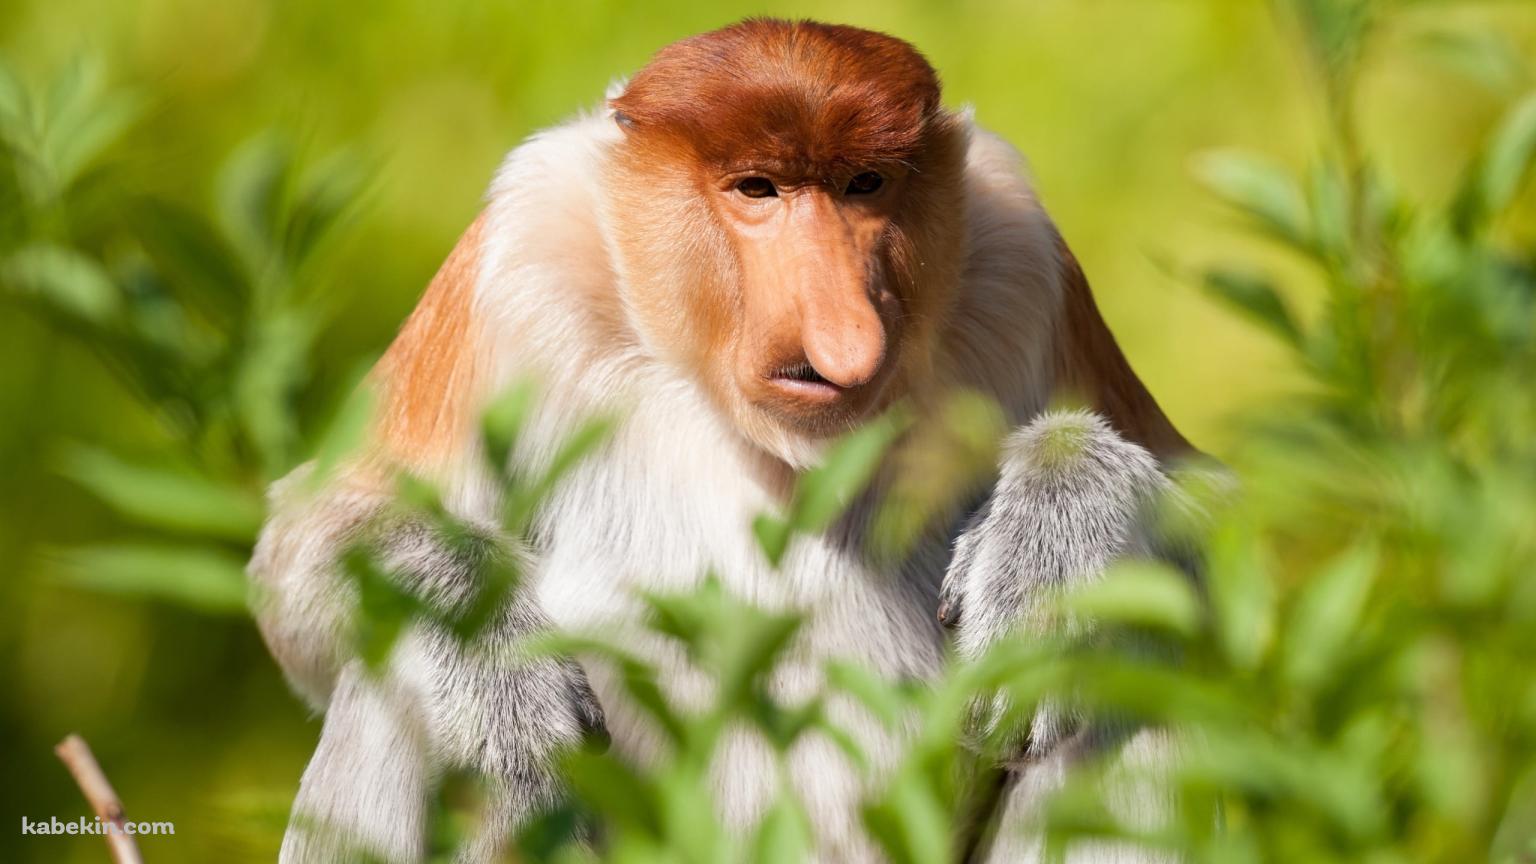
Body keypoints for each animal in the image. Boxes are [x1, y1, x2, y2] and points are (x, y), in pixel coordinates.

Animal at [248, 18, 1195, 864]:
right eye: (757, 188)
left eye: (865, 184)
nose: (844, 338)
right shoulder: (513, 259)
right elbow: (305, 553)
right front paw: (499, 682)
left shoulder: (1024, 262)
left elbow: (1205, 516)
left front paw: (1049, 555)